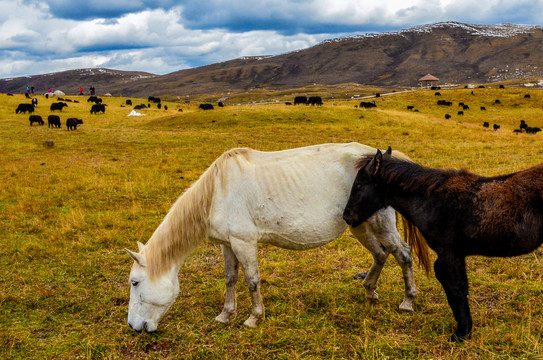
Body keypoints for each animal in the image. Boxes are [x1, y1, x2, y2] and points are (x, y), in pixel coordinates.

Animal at [125, 143, 432, 332]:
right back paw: (369, 291)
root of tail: (383, 159)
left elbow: (252, 280)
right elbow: (230, 279)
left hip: (379, 223)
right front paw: (225, 315)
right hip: (360, 225)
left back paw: (407, 301)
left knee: (402, 254)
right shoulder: (227, 245)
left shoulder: (244, 242)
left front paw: (253, 318)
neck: (217, 191)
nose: (133, 326)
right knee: (380, 254)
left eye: (135, 282)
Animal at [344, 148, 543, 342]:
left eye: (359, 185)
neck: (432, 201)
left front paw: (461, 333)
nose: (347, 217)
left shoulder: (450, 254)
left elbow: (457, 288)